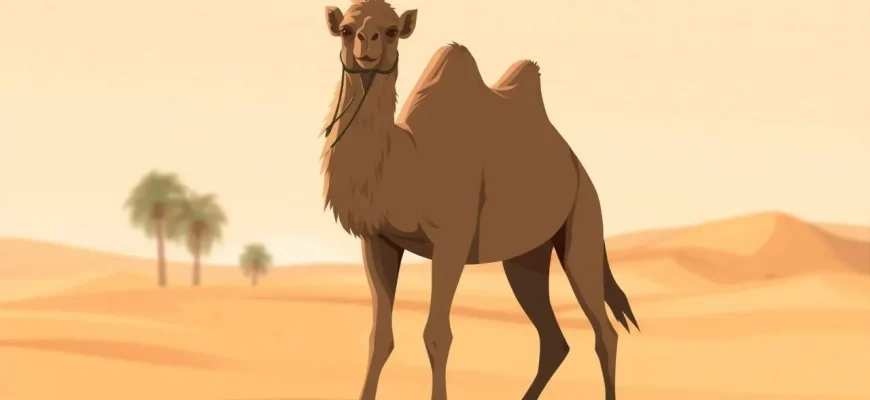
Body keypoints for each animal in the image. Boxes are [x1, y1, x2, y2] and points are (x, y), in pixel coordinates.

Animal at [318, 1, 639, 399]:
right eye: (346, 29)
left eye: (392, 31)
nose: (367, 41)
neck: (408, 165)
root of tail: (578, 166)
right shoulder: (378, 240)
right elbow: (379, 338)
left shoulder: (452, 239)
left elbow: (437, 335)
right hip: (525, 258)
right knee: (554, 339)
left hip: (584, 221)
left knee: (604, 332)